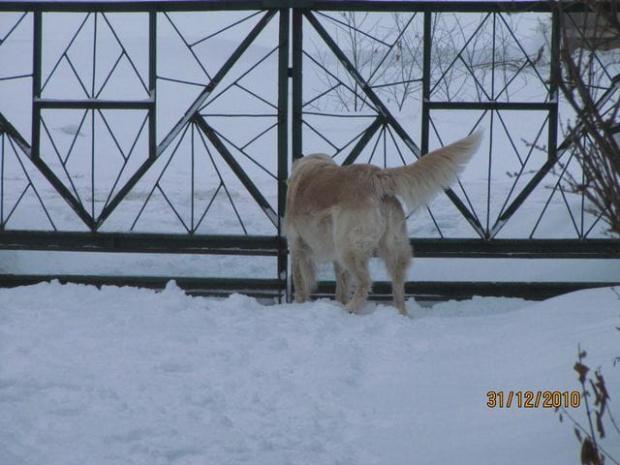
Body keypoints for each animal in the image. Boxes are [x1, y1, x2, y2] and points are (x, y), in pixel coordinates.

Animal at [286, 131, 484, 316]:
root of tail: (376, 175)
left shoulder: (295, 244)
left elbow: (299, 279)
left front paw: (299, 303)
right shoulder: (332, 257)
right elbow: (341, 284)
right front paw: (338, 301)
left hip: (348, 247)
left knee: (365, 281)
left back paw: (350, 309)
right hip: (394, 247)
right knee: (398, 286)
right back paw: (400, 314)